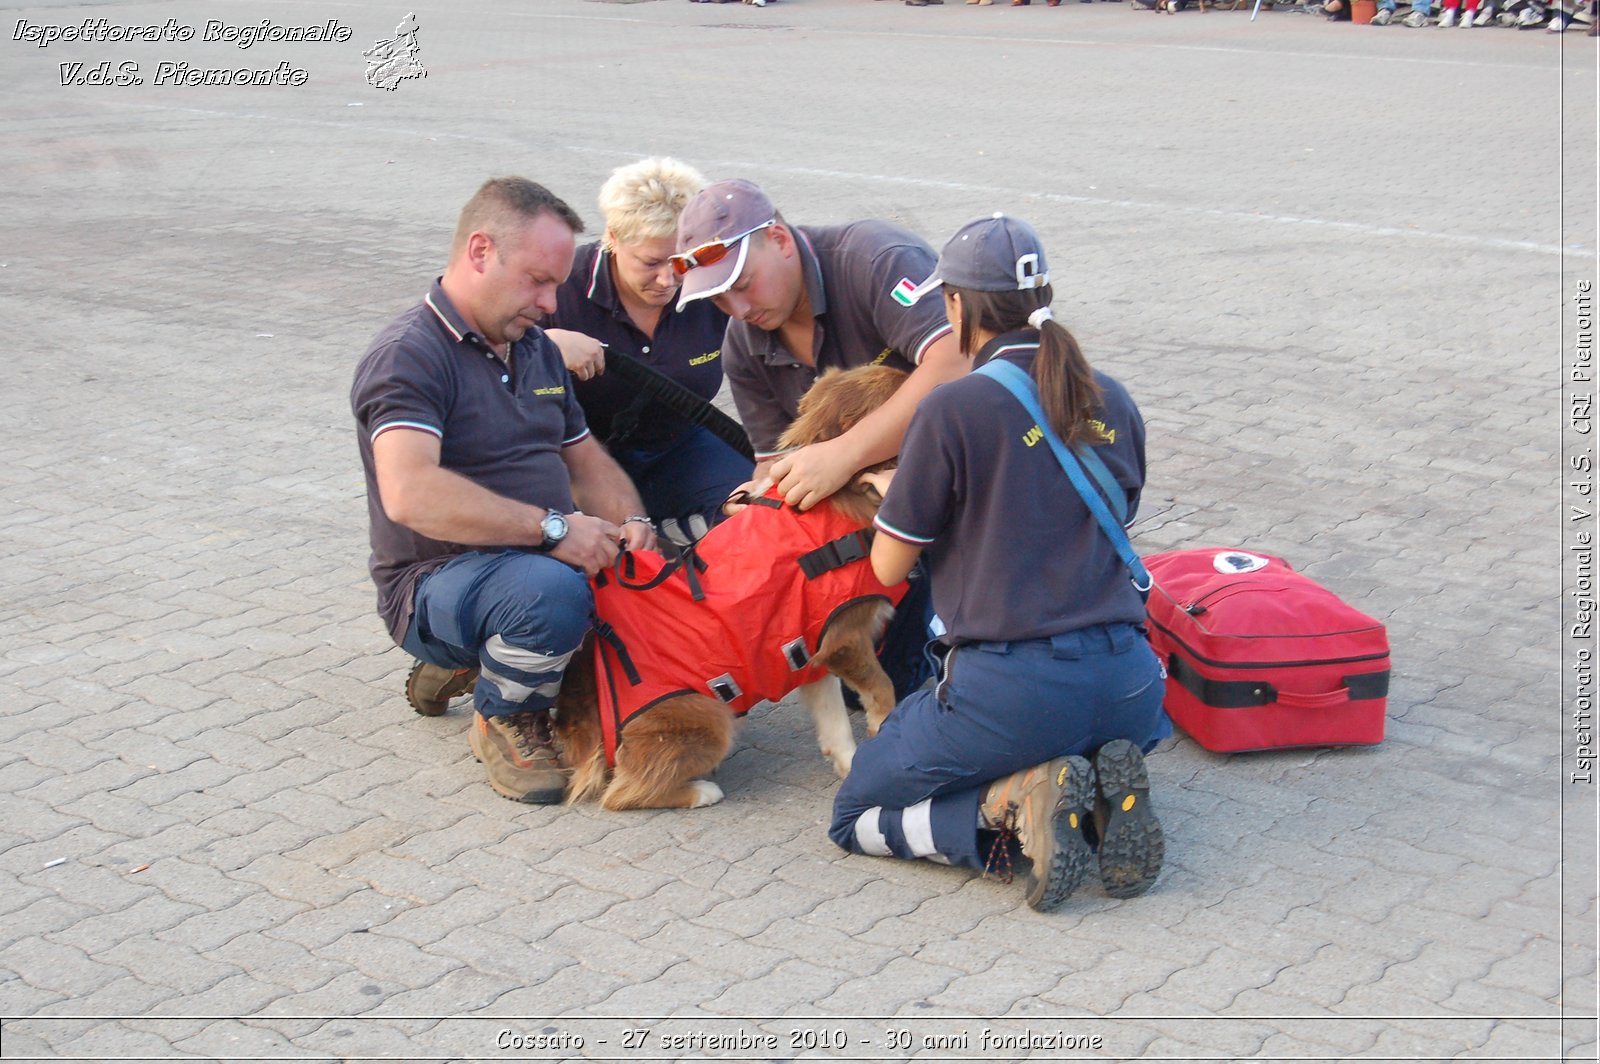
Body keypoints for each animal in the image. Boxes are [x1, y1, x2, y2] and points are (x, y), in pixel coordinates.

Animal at [560, 363, 915, 806]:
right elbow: (883, 691)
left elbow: (834, 722)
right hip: (712, 716)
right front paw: (883, 733)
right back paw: (700, 790)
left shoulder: (809, 649)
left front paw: (852, 767)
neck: (841, 492)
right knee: (623, 792)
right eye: (901, 393)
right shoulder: (845, 639)